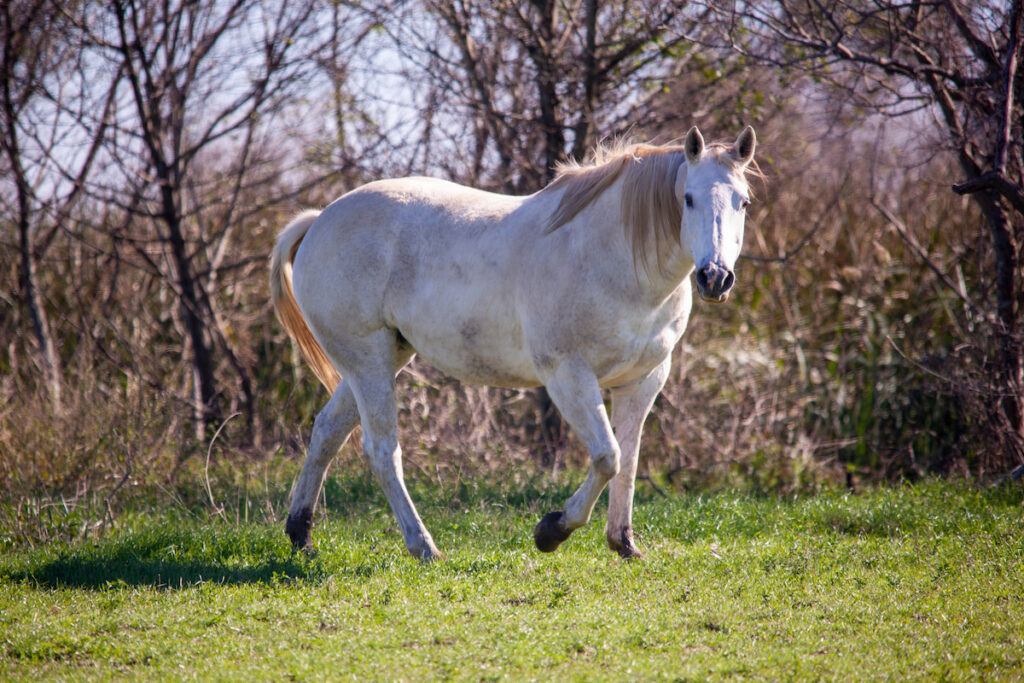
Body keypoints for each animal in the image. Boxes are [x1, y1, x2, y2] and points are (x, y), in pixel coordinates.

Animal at [268, 126, 757, 561]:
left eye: (744, 202)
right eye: (688, 198)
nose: (715, 278)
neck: (612, 257)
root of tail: (319, 221)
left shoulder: (643, 380)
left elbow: (630, 461)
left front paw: (624, 544)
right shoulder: (567, 375)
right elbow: (608, 457)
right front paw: (551, 531)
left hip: (381, 359)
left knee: (327, 431)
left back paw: (301, 535)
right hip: (368, 361)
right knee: (382, 451)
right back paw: (424, 547)